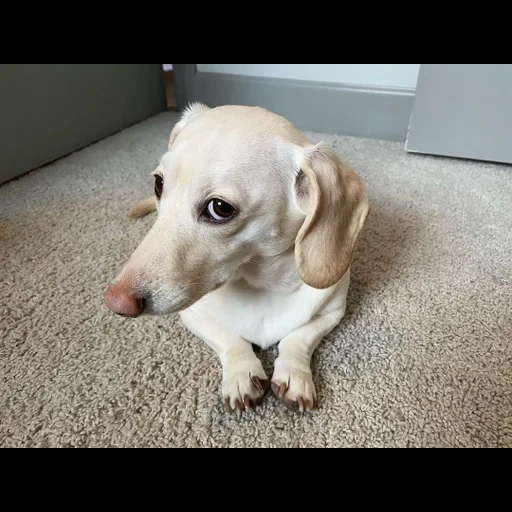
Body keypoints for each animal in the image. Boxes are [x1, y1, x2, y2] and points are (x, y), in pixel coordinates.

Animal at [104, 103, 370, 412]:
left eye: (220, 207)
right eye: (159, 184)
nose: (116, 302)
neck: (260, 286)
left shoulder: (332, 313)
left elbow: (297, 338)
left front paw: (295, 374)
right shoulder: (194, 315)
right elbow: (231, 339)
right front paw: (243, 374)